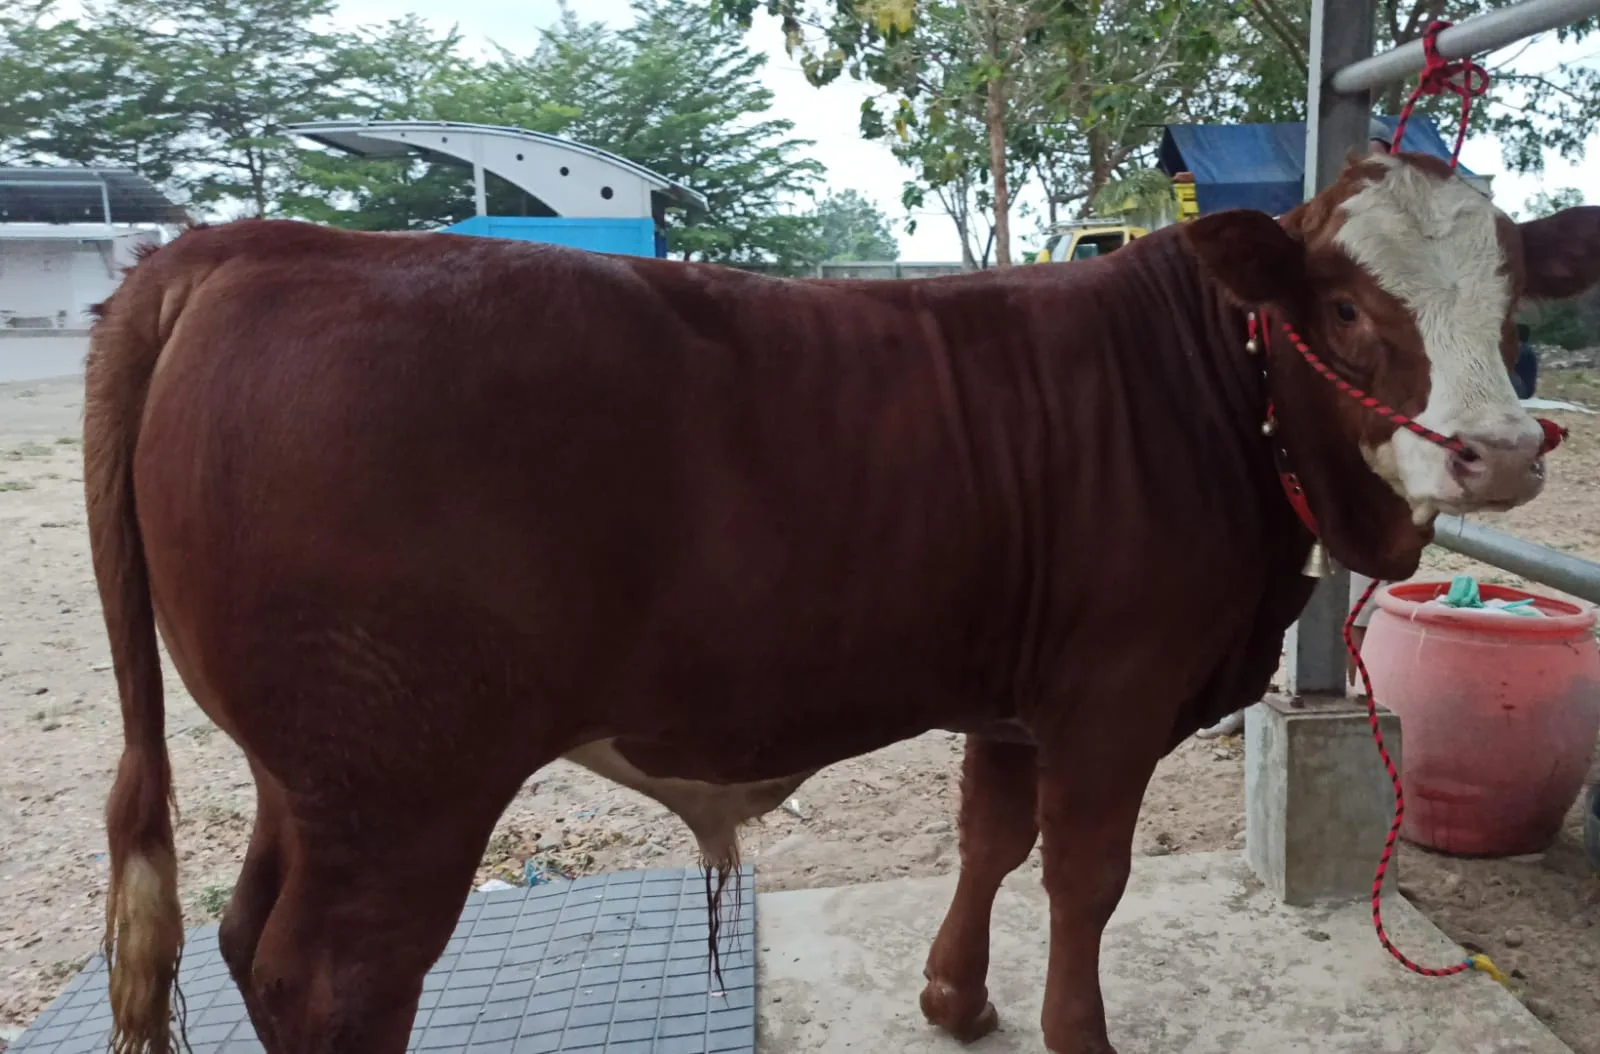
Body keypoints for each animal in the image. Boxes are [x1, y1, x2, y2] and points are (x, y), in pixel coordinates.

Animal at [82, 150, 1600, 1054]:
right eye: (1343, 305)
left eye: (1513, 293)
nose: (1502, 450)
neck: (1217, 394)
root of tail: (263, 244)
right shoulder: (1111, 691)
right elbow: (1083, 876)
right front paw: (1073, 1028)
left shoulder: (1016, 690)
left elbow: (990, 838)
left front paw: (955, 996)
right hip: (405, 781)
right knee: (334, 978)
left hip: (311, 771)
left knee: (244, 932)